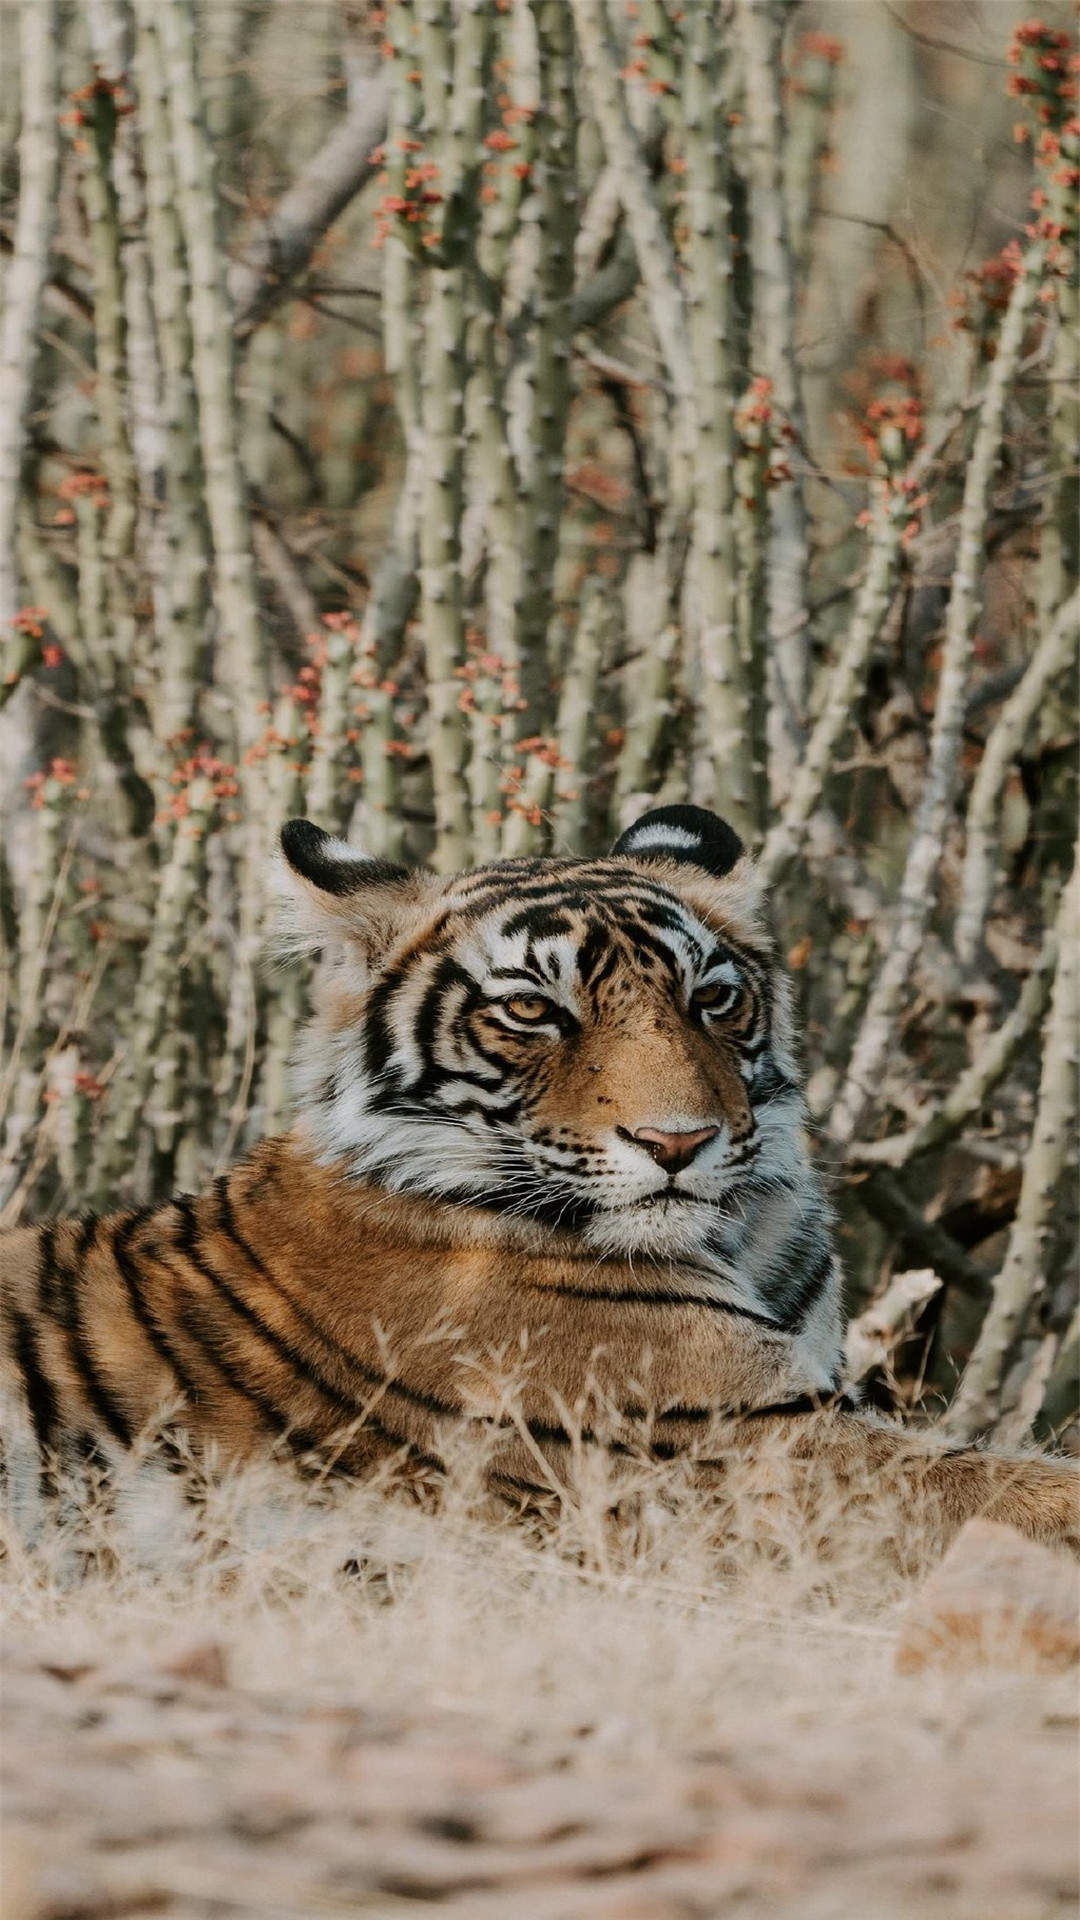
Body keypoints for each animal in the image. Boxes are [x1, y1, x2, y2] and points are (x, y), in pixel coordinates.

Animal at [1, 804, 1076, 1553]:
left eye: (712, 999)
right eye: (531, 1011)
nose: (678, 1142)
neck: (746, 1235)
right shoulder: (752, 1445)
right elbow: (1029, 1490)